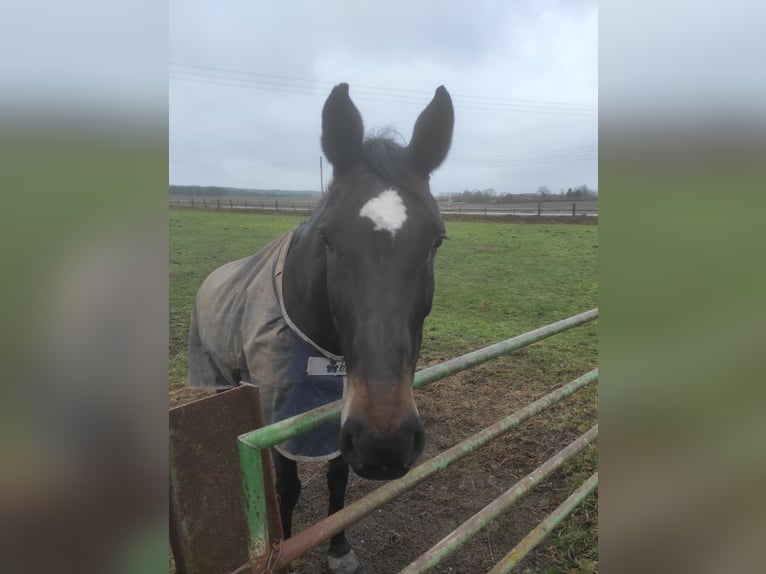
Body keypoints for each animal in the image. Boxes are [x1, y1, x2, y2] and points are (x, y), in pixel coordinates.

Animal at [188, 83, 453, 574]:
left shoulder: (341, 404)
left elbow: (338, 475)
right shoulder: (281, 407)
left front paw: (339, 547)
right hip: (218, 378)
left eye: (437, 240)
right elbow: (287, 489)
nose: (385, 444)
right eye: (328, 238)